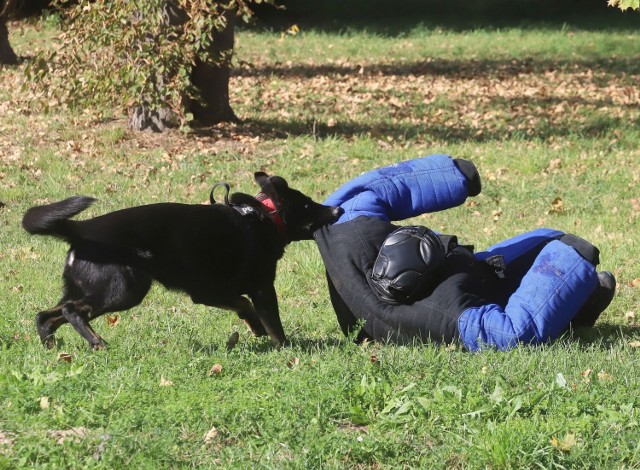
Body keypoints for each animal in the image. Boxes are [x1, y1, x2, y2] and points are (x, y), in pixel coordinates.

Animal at [21, 173, 340, 348]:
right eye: (308, 204)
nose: (337, 210)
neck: (263, 217)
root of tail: (82, 230)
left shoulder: (207, 292)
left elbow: (242, 304)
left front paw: (255, 327)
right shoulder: (261, 288)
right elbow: (273, 323)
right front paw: (287, 348)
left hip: (88, 289)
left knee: (45, 316)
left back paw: (51, 345)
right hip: (123, 290)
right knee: (73, 311)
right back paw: (97, 342)